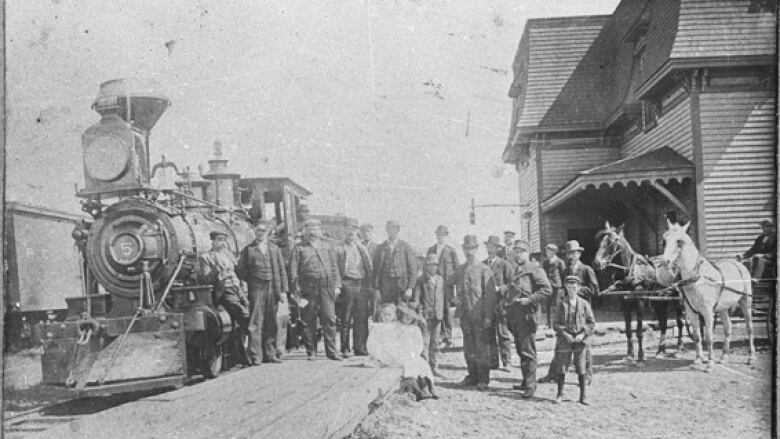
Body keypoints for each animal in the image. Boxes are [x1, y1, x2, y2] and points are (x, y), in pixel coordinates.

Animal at [596, 223, 684, 364]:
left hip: (678, 300)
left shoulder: (640, 303)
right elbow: (628, 331)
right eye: (600, 241)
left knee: (680, 322)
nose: (597, 262)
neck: (631, 273)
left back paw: (679, 349)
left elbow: (639, 331)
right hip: (660, 301)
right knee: (663, 323)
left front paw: (641, 357)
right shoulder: (625, 305)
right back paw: (660, 351)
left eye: (613, 241)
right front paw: (629, 356)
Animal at [660, 222, 752, 370]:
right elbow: (697, 335)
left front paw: (710, 363)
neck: (697, 277)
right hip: (723, 309)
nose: (665, 262)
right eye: (664, 240)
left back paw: (751, 357)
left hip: (746, 302)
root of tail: (738, 264)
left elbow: (709, 336)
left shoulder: (708, 312)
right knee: (728, 327)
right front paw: (698, 359)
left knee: (749, 328)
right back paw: (724, 357)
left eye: (679, 241)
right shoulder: (692, 312)